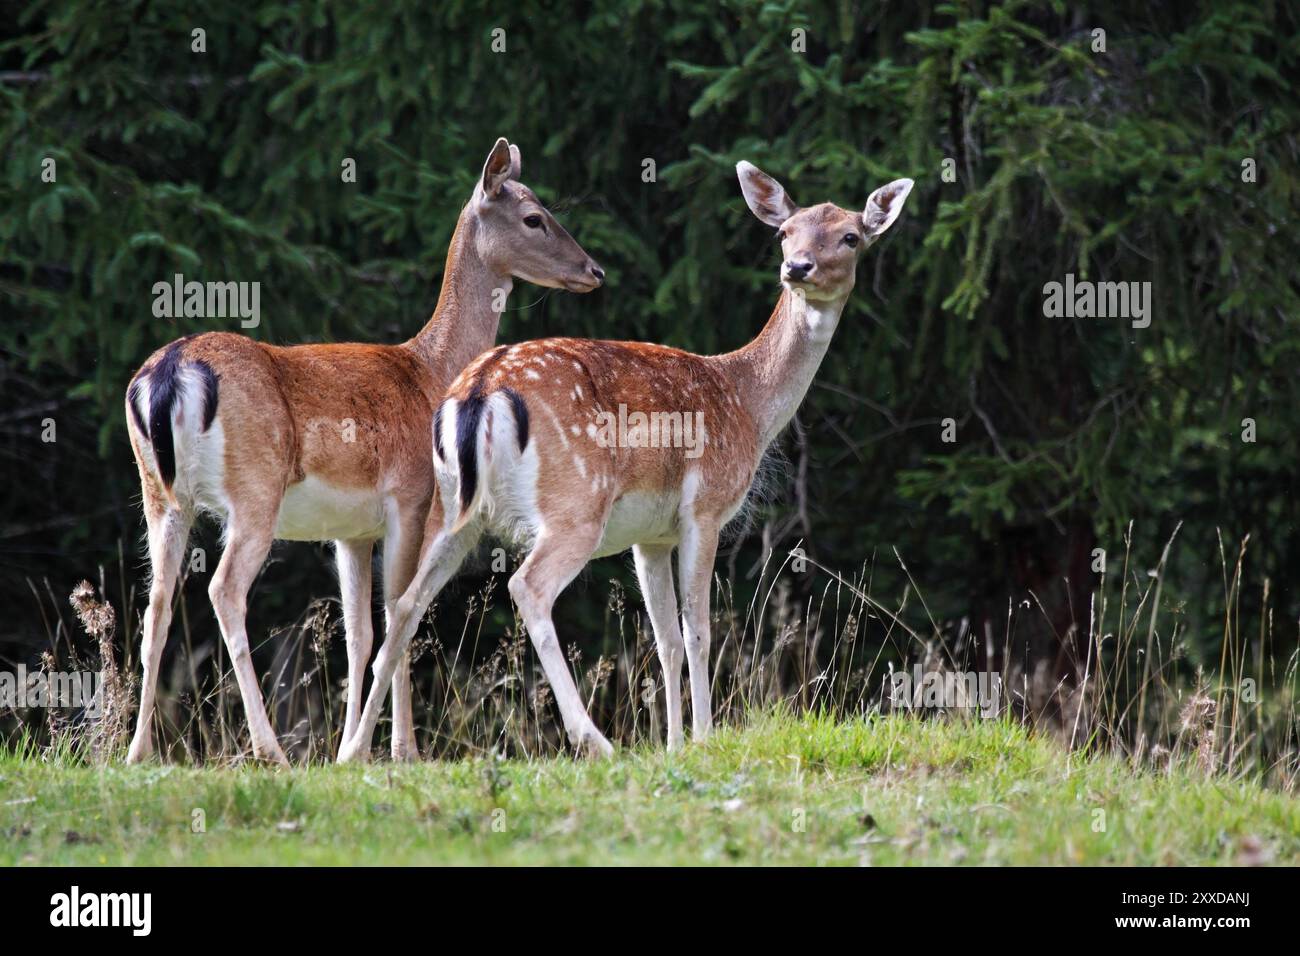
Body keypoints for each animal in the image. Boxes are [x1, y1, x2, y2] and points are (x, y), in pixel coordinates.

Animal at [124, 138, 605, 764]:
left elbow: (359, 632)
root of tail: (169, 374)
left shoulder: (350, 531)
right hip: (254, 489)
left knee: (156, 602)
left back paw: (137, 752)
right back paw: (270, 749)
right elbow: (401, 609)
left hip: (158, 493)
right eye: (533, 218)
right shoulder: (412, 497)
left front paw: (348, 748)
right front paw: (402, 750)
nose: (594, 270)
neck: (433, 371)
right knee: (223, 590)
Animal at [335, 160, 915, 764]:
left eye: (850, 237)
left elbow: (666, 638)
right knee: (527, 587)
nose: (797, 266)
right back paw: (594, 739)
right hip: (575, 502)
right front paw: (704, 739)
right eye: (784, 232)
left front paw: (675, 743)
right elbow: (700, 631)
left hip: (451, 509)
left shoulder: (650, 536)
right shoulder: (705, 509)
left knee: (403, 604)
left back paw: (354, 751)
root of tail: (480, 390)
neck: (748, 402)